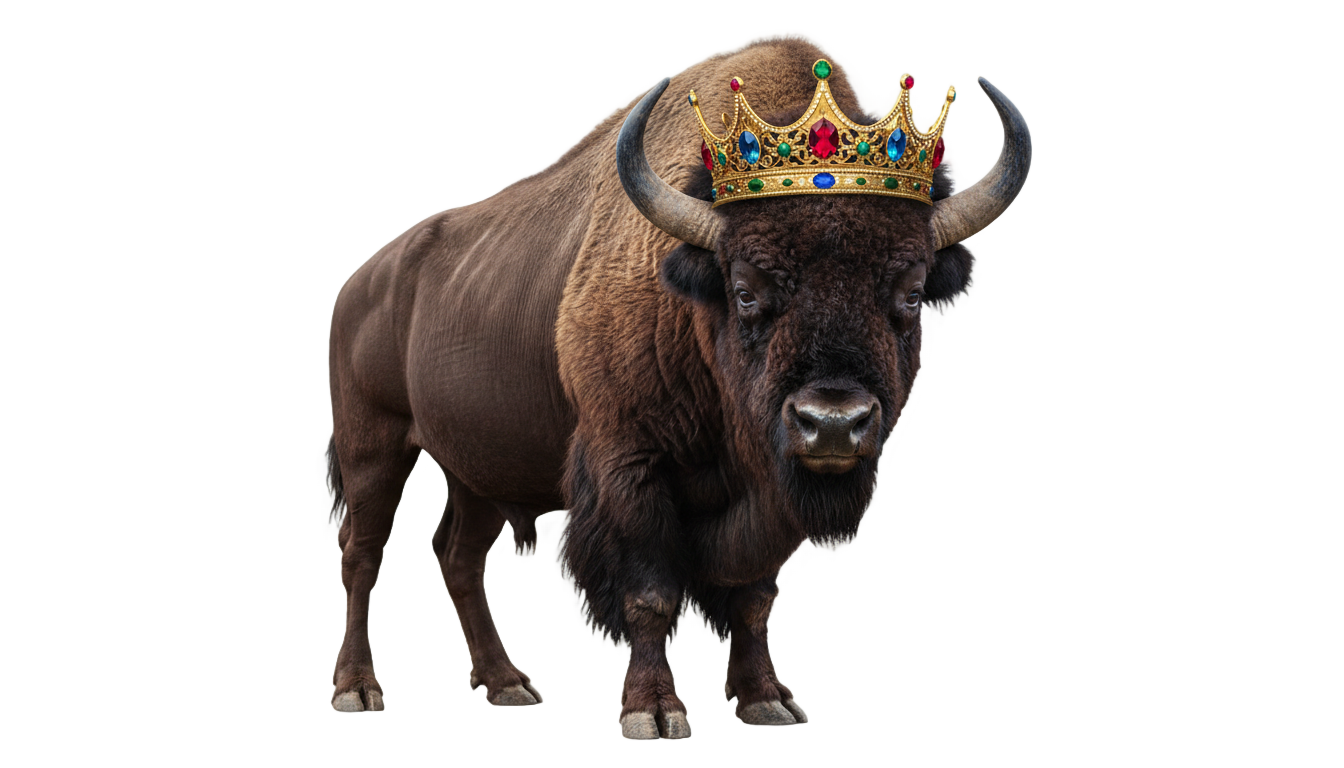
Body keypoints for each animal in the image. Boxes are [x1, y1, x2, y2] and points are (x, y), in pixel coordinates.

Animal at [326, 37, 1029, 738]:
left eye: (911, 293)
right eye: (744, 290)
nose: (832, 423)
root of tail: (359, 284)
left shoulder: (767, 493)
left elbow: (752, 599)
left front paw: (764, 703)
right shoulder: (630, 466)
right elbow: (651, 594)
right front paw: (654, 713)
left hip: (477, 470)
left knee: (458, 557)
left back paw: (505, 686)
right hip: (372, 445)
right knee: (360, 555)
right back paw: (356, 692)